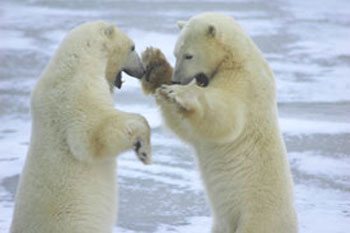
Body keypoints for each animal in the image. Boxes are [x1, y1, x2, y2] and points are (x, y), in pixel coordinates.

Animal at [10, 20, 150, 233]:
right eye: (132, 47)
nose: (143, 70)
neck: (77, 61)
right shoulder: (78, 89)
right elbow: (94, 134)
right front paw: (144, 150)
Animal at [142, 12, 298, 233]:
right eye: (175, 53)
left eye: (189, 55)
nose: (177, 80)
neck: (236, 57)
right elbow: (188, 128)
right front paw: (156, 67)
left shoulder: (246, 84)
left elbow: (225, 117)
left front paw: (179, 92)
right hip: (222, 223)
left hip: (257, 214)